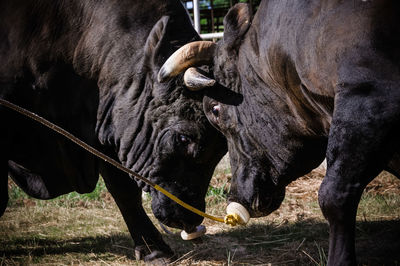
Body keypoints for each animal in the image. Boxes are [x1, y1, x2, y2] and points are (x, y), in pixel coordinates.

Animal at [0, 0, 228, 262]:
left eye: (223, 148)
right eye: (184, 137)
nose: (191, 218)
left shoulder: (106, 133)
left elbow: (124, 189)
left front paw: (154, 249)